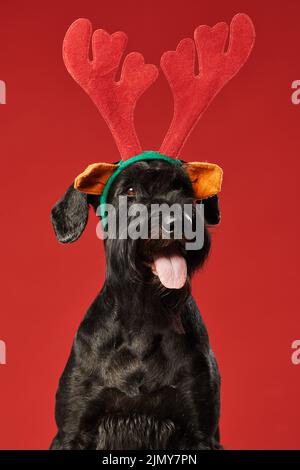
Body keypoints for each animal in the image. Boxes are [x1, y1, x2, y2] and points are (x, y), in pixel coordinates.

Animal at [50, 160, 221, 450]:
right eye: (130, 190)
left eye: (182, 188)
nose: (179, 221)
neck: (145, 316)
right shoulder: (73, 430)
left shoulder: (200, 432)